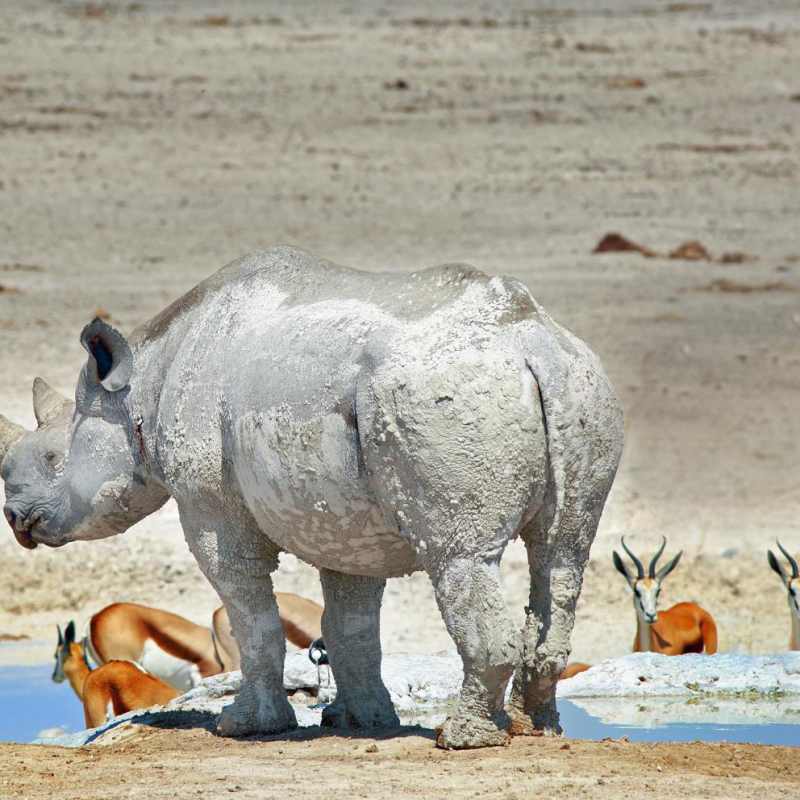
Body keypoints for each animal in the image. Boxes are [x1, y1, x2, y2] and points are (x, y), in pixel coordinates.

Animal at [0, 246, 623, 748]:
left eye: (52, 458)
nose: (15, 519)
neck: (139, 389)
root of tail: (531, 338)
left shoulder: (210, 509)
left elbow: (251, 615)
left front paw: (244, 725)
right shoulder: (346, 521)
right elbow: (350, 623)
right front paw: (359, 720)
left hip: (445, 398)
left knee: (461, 557)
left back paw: (464, 738)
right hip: (583, 385)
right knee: (563, 554)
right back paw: (533, 727)